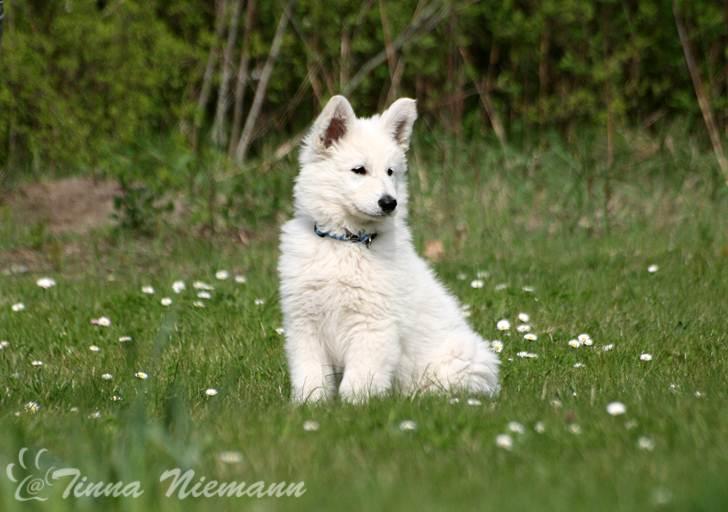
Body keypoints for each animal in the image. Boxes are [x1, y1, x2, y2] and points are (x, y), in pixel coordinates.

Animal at [278, 94, 500, 402]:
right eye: (359, 170)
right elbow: (309, 374)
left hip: (460, 357)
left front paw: (355, 405)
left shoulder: (372, 325)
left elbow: (359, 378)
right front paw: (309, 404)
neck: (347, 241)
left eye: (390, 172)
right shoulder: (305, 324)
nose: (389, 202)